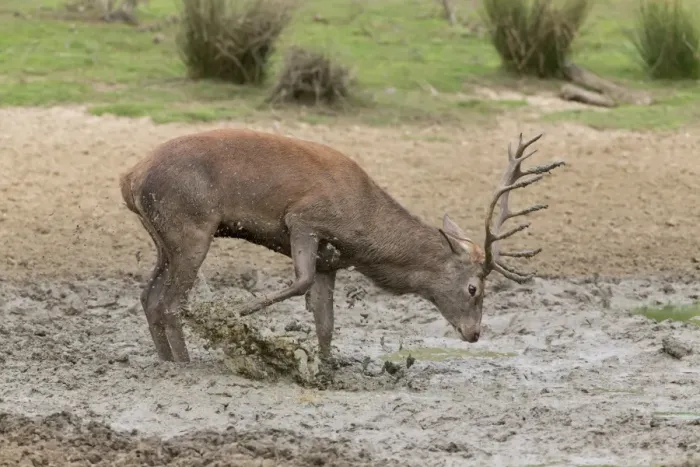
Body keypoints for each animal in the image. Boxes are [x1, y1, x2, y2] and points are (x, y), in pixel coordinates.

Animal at [119, 129, 564, 364]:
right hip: (191, 227)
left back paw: (167, 361)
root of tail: (129, 177)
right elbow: (300, 283)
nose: (474, 334)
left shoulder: (331, 261)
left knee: (148, 298)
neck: (364, 238)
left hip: (164, 237)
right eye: (474, 288)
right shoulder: (304, 218)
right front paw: (232, 317)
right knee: (169, 303)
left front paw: (329, 368)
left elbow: (326, 322)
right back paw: (188, 363)